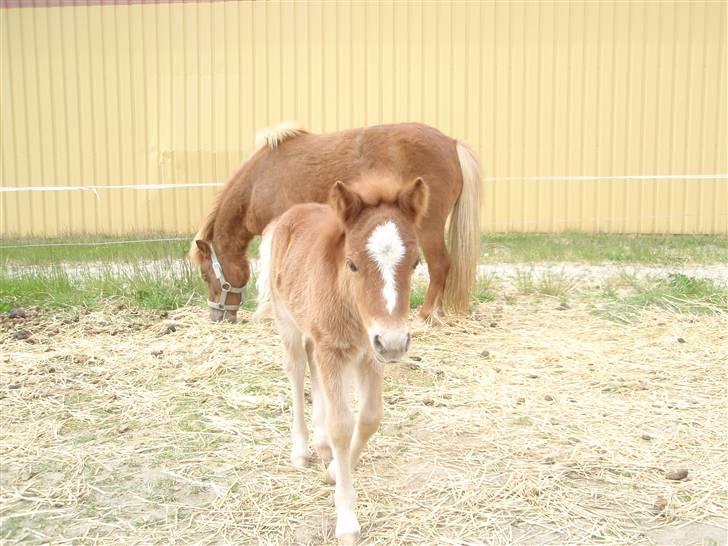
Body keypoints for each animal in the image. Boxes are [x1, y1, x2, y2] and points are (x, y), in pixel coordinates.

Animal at [191, 121, 480, 320]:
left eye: (205, 275)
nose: (217, 316)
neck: (259, 181)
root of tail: (451, 143)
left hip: (428, 226)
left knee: (440, 265)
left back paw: (426, 314)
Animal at [255, 173, 426, 540]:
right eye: (352, 264)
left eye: (416, 262)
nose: (395, 343)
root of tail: (285, 217)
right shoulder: (334, 348)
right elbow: (341, 425)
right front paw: (347, 520)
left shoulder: (368, 352)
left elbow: (370, 417)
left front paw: (335, 467)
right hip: (288, 323)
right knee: (296, 371)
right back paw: (301, 450)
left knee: (313, 368)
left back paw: (320, 446)